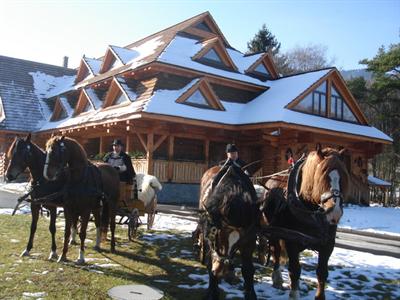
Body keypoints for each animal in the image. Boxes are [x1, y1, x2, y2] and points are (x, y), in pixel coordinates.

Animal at [197, 164, 260, 300]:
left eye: (241, 238)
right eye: (215, 232)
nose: (220, 270)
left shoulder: (249, 241)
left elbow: (248, 269)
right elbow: (210, 263)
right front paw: (212, 292)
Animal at [260, 145, 348, 298]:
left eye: (342, 177)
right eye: (322, 177)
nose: (335, 212)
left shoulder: (328, 244)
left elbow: (322, 273)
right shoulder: (291, 240)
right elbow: (295, 270)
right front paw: (294, 293)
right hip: (275, 232)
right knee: (276, 252)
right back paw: (277, 278)